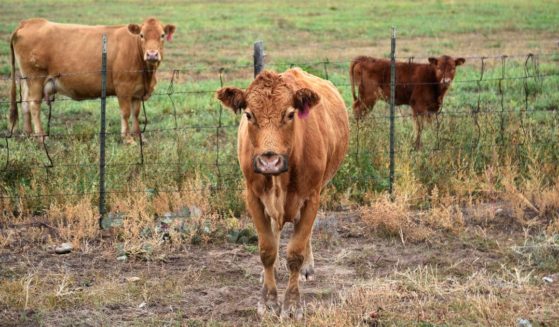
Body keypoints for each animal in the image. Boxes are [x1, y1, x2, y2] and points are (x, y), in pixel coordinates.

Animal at [8, 17, 175, 144]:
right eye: (141, 35)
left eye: (162, 35)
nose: (152, 54)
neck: (146, 73)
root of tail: (30, 22)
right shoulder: (123, 88)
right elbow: (126, 113)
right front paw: (127, 139)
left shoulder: (137, 91)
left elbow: (136, 114)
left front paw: (139, 137)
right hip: (36, 78)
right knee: (34, 105)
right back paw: (41, 136)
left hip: (26, 79)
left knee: (25, 103)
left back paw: (28, 133)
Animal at [217, 68, 348, 320]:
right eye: (249, 114)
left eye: (290, 114)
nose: (270, 161)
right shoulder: (253, 197)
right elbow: (267, 249)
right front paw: (268, 301)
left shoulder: (311, 197)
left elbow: (296, 252)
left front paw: (292, 304)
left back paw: (307, 266)